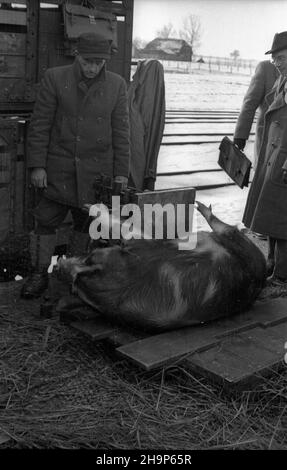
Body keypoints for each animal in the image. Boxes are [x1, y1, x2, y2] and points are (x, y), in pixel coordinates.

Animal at [58, 201, 268, 330]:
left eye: (89, 256)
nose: (61, 262)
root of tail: (263, 272)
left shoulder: (139, 244)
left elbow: (124, 226)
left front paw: (89, 206)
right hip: (237, 240)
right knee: (226, 227)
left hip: (236, 240)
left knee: (226, 226)